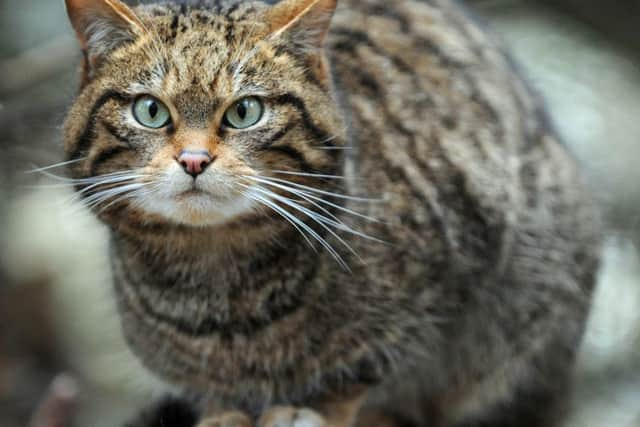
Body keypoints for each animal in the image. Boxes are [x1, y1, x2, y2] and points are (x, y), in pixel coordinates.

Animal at [60, 0, 600, 427]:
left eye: (244, 112)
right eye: (150, 111)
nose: (194, 160)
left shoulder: (455, 270)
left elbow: (368, 368)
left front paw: (315, 409)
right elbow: (213, 394)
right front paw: (221, 415)